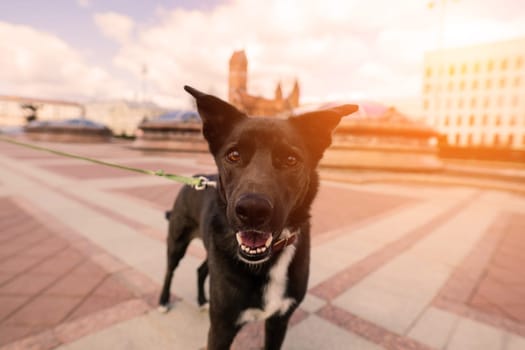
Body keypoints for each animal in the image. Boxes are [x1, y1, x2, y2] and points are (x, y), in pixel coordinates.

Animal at [160, 85, 356, 350]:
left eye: (291, 159)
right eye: (233, 155)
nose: (252, 210)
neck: (267, 262)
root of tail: (194, 180)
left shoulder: (279, 321)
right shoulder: (221, 328)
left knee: (201, 270)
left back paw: (201, 301)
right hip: (177, 243)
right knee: (169, 271)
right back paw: (163, 301)